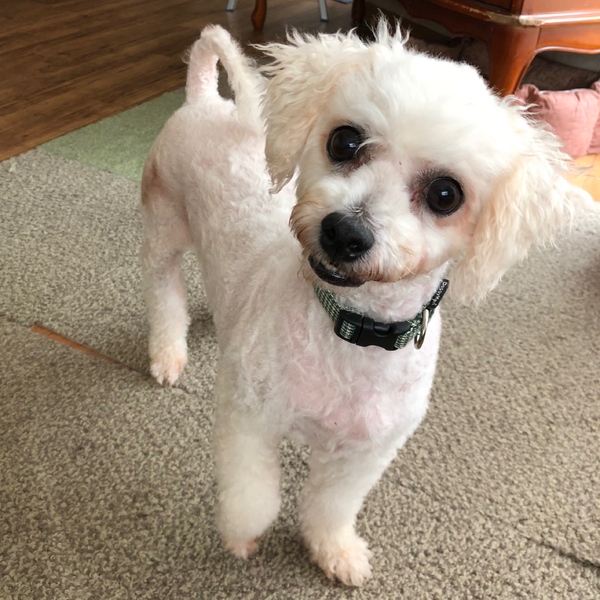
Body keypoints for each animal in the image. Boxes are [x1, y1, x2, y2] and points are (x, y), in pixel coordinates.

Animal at [140, 23, 590, 586]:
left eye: (446, 195)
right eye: (345, 140)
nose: (344, 232)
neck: (351, 331)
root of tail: (204, 99)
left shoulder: (364, 454)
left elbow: (331, 506)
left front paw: (334, 550)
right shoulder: (248, 418)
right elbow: (252, 498)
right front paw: (242, 537)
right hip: (162, 229)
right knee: (164, 294)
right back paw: (167, 353)